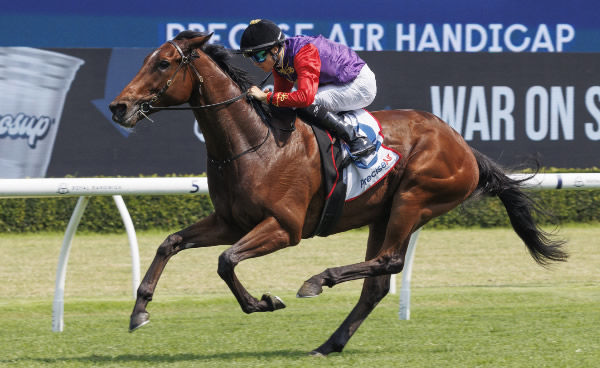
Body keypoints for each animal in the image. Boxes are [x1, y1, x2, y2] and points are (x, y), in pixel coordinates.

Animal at [109, 32, 568, 356]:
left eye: (164, 62)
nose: (118, 107)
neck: (255, 143)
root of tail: (464, 146)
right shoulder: (230, 221)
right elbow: (171, 244)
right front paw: (139, 311)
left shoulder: (284, 227)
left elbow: (226, 261)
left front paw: (264, 302)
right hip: (384, 213)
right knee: (377, 283)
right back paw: (330, 343)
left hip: (414, 200)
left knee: (388, 261)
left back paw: (318, 281)